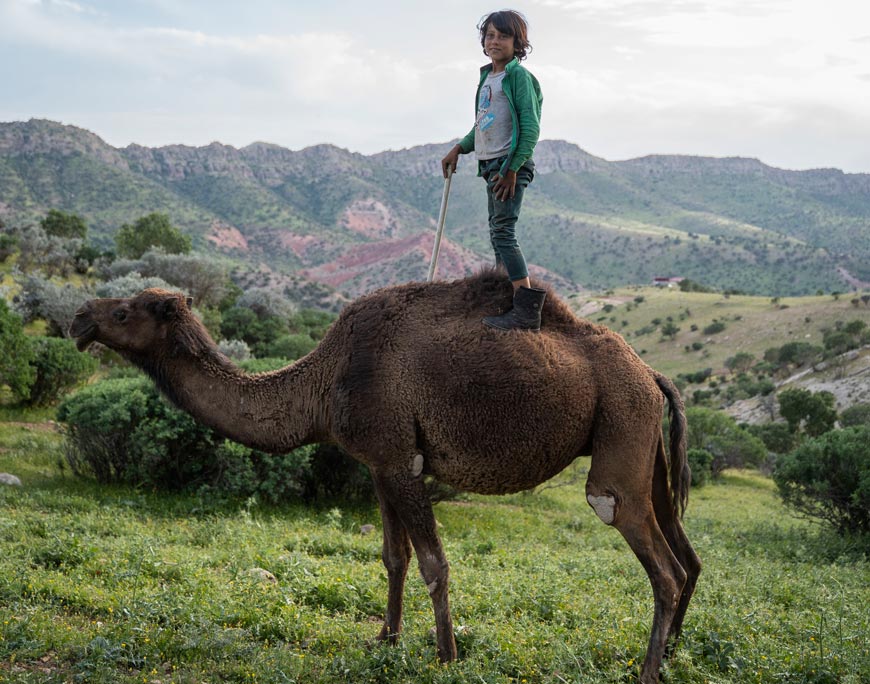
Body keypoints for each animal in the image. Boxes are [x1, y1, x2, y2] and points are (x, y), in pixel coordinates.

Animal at [71, 270, 704, 680]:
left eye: (123, 311)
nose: (78, 318)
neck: (323, 382)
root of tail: (651, 372)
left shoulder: (401, 460)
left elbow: (433, 562)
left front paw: (446, 655)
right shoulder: (378, 462)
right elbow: (393, 557)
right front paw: (386, 639)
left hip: (619, 433)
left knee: (652, 553)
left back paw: (647, 670)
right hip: (641, 442)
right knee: (687, 554)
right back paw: (673, 651)